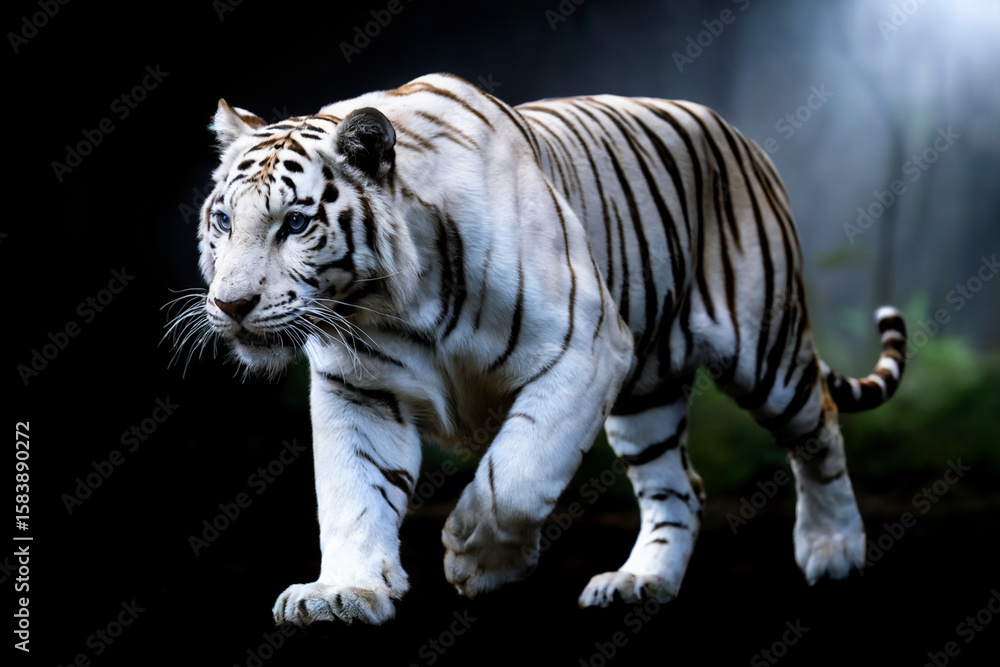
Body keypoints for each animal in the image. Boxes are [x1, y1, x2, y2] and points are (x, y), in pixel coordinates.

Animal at [166, 72, 906, 625]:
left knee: (819, 430)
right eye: (223, 219)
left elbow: (519, 473)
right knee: (681, 487)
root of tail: (733, 129)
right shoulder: (359, 389)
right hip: (647, 396)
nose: (231, 305)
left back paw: (833, 550)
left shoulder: (585, 348)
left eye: (295, 224)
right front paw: (344, 592)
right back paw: (641, 581)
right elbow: (352, 490)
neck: (388, 300)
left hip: (763, 348)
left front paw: (478, 560)